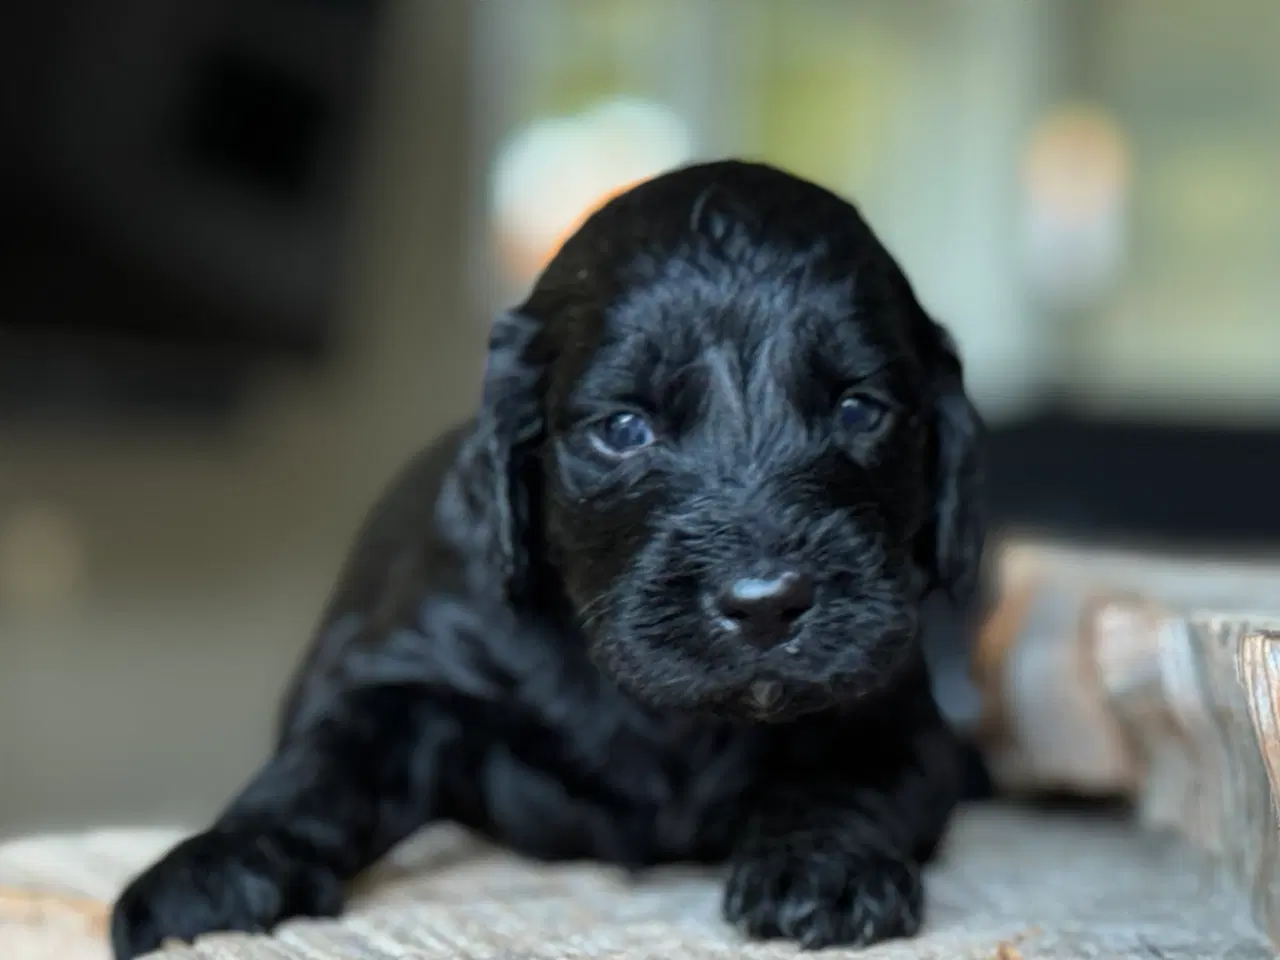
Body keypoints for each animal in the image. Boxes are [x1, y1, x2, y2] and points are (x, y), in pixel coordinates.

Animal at [112, 161, 988, 957]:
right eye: (625, 427)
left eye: (859, 410)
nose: (766, 603)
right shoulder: (413, 666)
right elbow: (327, 759)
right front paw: (218, 869)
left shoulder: (889, 703)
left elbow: (849, 776)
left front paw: (825, 867)